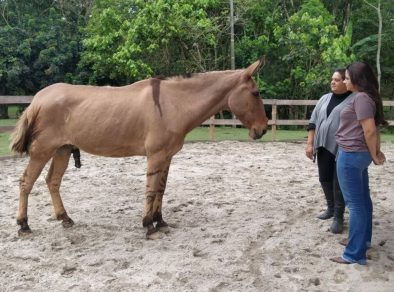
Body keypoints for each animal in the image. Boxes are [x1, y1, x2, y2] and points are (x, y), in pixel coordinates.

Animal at [10, 57, 268, 240]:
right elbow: (151, 190)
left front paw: (160, 221)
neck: (174, 104)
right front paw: (148, 225)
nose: (263, 129)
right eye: (255, 93)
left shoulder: (167, 157)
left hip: (62, 149)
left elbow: (161, 189)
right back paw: (24, 225)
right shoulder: (155, 156)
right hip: (43, 150)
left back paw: (65, 218)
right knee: (26, 182)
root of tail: (37, 99)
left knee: (52, 181)